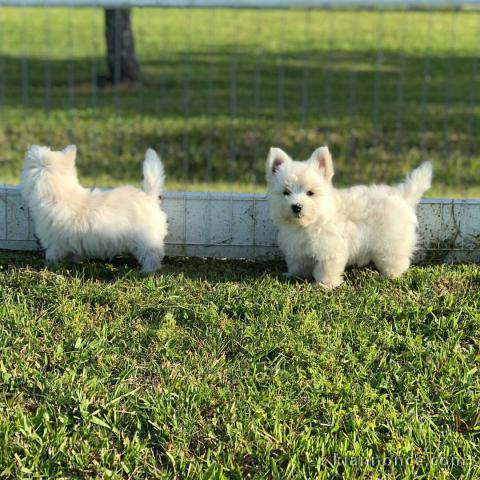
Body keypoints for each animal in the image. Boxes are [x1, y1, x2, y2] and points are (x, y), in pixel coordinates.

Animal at [20, 144, 169, 272]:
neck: (60, 193)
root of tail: (150, 196)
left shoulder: (54, 242)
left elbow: (52, 255)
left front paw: (50, 267)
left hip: (145, 239)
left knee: (152, 255)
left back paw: (147, 271)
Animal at [264, 146, 434, 288]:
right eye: (286, 192)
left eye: (310, 193)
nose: (297, 206)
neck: (312, 221)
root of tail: (402, 196)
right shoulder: (297, 249)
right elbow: (297, 263)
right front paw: (294, 275)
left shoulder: (330, 250)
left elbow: (326, 268)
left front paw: (324, 285)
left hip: (391, 242)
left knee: (396, 259)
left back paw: (391, 275)